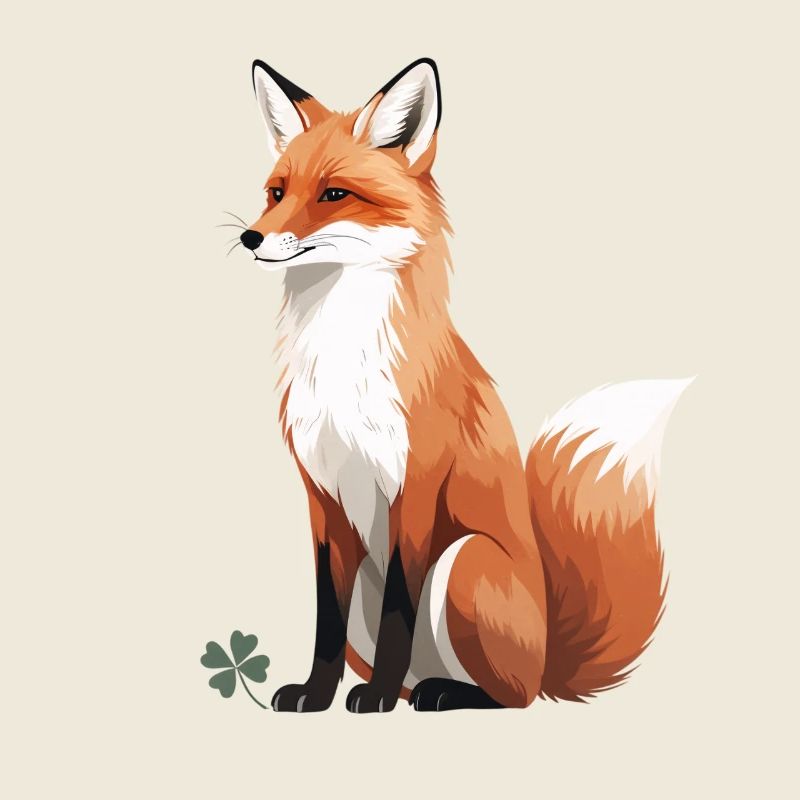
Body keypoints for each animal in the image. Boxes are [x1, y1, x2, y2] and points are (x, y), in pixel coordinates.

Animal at [236, 57, 691, 712]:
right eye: (276, 193)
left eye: (334, 194)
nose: (250, 237)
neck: (341, 364)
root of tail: (549, 658)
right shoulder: (321, 496)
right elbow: (326, 616)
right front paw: (315, 694)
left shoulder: (416, 485)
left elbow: (400, 605)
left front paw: (370, 699)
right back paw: (412, 689)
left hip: (465, 558)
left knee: (512, 695)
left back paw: (439, 694)